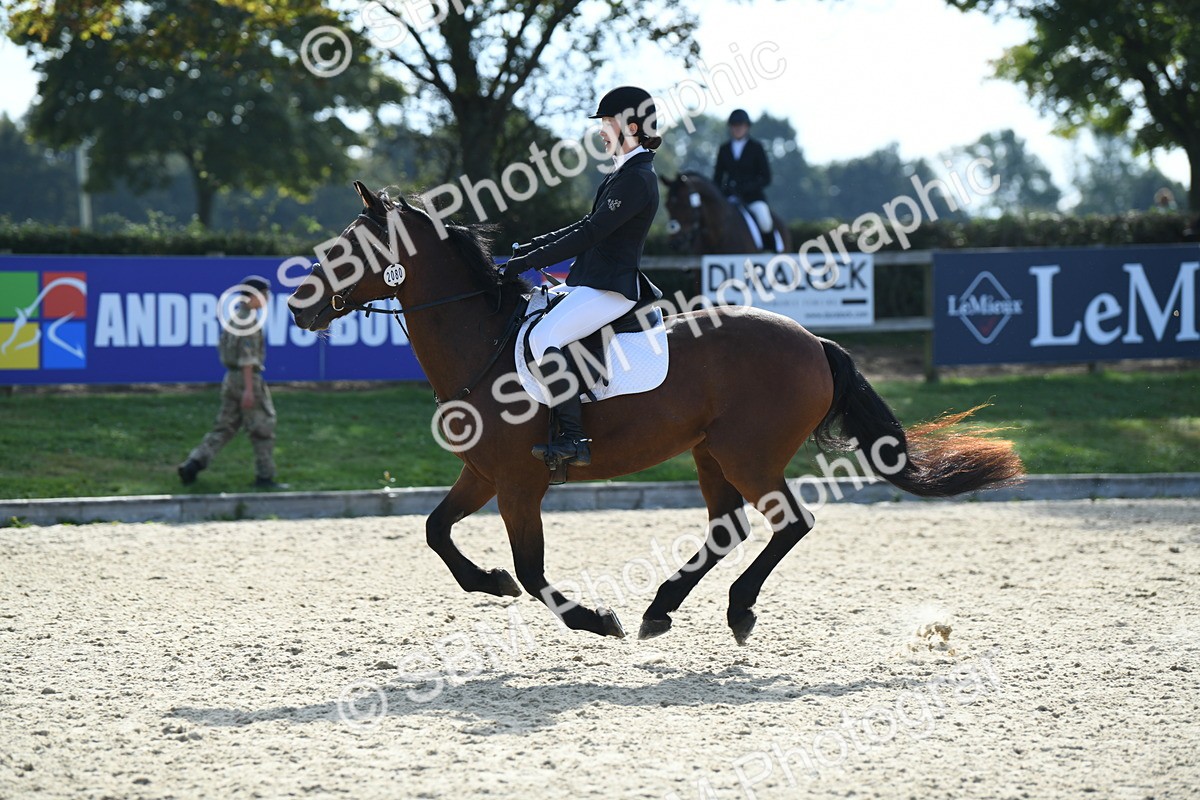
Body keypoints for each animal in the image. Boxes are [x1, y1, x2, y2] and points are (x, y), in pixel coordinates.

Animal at [288, 181, 1023, 645]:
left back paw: (730, 611)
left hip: (748, 453)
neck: (484, 343)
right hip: (710, 452)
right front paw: (488, 583)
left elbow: (532, 570)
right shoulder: (484, 474)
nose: (297, 304)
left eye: (349, 251)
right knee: (729, 527)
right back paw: (662, 610)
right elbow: (436, 532)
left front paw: (593, 620)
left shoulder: (521, 482)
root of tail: (814, 340)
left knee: (789, 522)